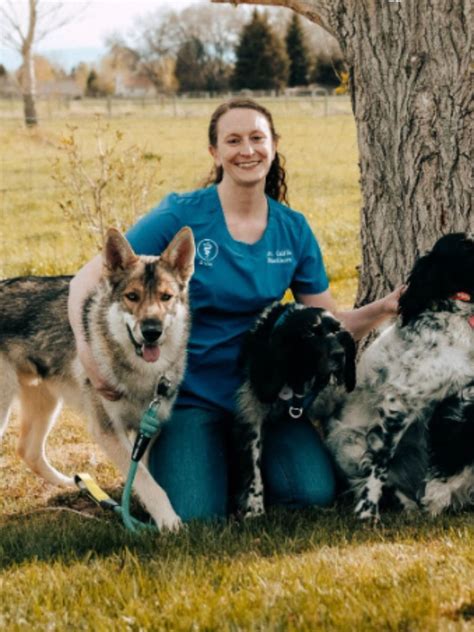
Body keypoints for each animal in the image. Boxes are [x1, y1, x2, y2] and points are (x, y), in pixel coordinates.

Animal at [0, 227, 194, 528]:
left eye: (166, 297)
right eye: (132, 296)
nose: (152, 331)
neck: (141, 372)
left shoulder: (148, 428)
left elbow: (144, 475)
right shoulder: (108, 430)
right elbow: (148, 482)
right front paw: (168, 521)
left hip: (45, 405)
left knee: (27, 451)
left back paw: (74, 484)